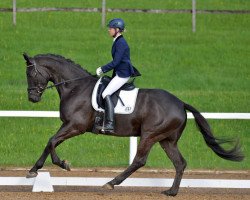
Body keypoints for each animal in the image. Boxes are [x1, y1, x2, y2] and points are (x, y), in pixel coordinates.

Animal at [23, 52, 244, 195]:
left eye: (31, 74)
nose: (32, 98)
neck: (75, 87)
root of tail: (180, 103)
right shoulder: (69, 125)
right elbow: (49, 142)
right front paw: (33, 170)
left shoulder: (75, 126)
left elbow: (52, 141)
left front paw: (63, 164)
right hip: (167, 140)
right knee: (179, 163)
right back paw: (171, 192)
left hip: (150, 135)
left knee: (139, 161)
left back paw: (111, 183)